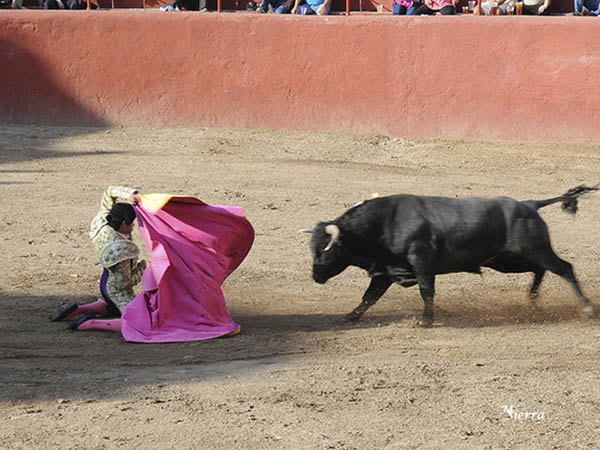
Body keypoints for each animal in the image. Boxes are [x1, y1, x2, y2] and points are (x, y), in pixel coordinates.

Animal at [308, 185, 596, 326]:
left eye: (327, 248)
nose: (315, 276)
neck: (381, 224)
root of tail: (529, 205)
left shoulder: (421, 260)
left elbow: (426, 290)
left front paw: (426, 321)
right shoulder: (387, 269)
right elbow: (370, 296)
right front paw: (350, 317)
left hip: (535, 250)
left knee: (564, 268)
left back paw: (586, 308)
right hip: (507, 260)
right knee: (540, 270)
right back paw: (533, 302)